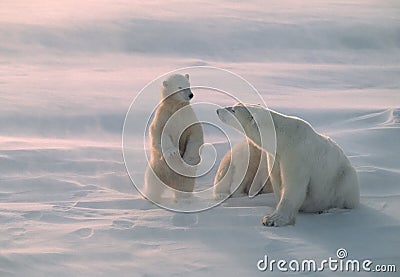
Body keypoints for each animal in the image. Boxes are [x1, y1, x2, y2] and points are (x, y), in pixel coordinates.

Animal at [217, 102, 360, 225]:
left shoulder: (296, 154)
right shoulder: (275, 157)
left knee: (346, 192)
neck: (284, 138)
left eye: (234, 110)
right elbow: (277, 179)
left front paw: (272, 219)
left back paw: (331, 209)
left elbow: (293, 185)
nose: (218, 110)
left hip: (343, 177)